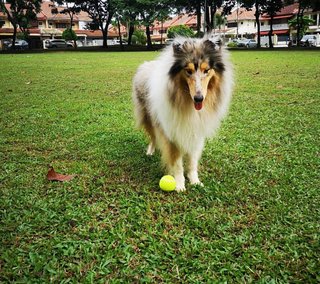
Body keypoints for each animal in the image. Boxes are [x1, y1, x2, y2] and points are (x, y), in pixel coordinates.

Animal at [132, 35, 232, 191]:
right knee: (153, 136)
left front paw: (195, 181)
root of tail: (146, 64)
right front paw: (179, 184)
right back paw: (150, 151)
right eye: (188, 71)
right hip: (147, 116)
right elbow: (177, 163)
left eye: (207, 70)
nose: (199, 98)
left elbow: (192, 161)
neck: (186, 101)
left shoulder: (196, 132)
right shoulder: (171, 133)